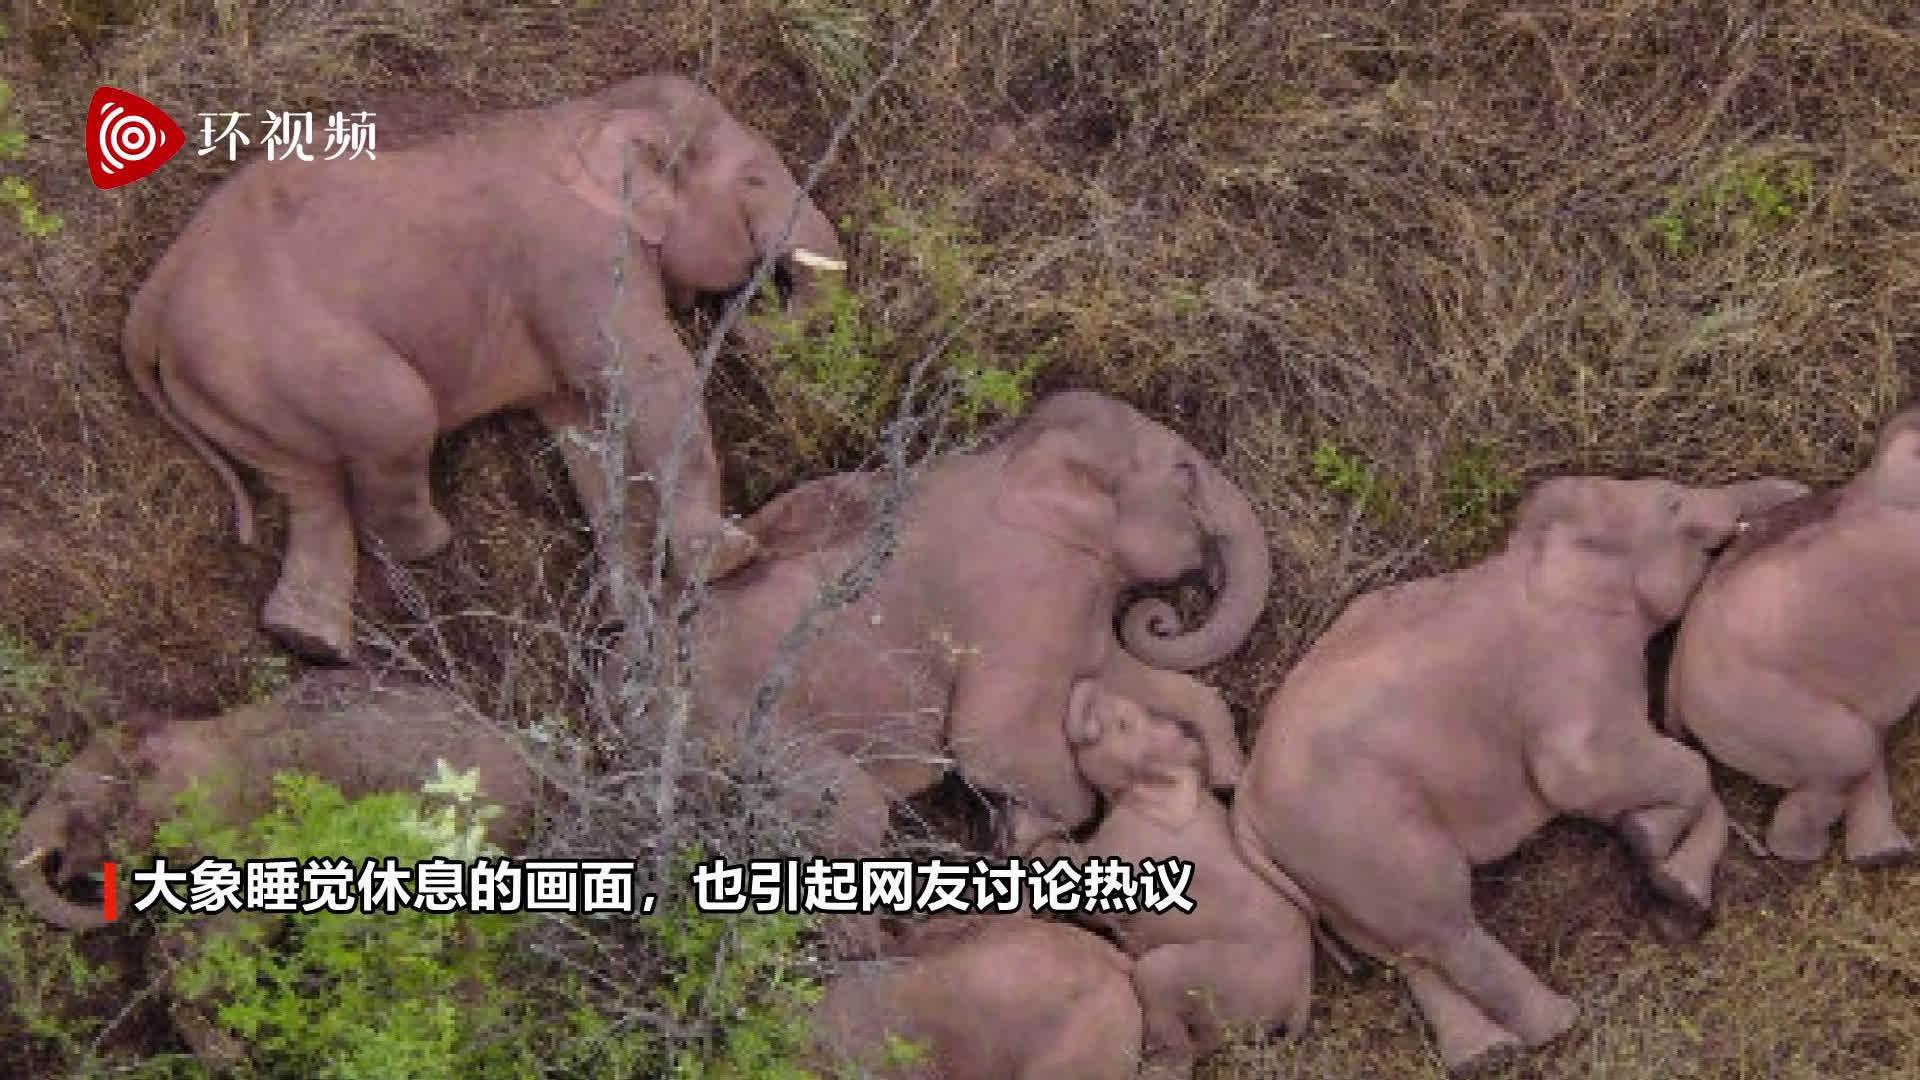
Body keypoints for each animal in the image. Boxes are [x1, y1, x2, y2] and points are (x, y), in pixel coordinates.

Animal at [122, 72, 848, 665]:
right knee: (397, 416)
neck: (588, 111)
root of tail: (151, 300)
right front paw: (730, 555)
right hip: (283, 354)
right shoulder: (578, 254)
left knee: (309, 488)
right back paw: (430, 544)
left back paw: (310, 642)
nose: (752, 311)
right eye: (754, 182)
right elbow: (647, 377)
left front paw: (630, 616)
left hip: (240, 388)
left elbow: (588, 428)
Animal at [687, 389, 1272, 860]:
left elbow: (1118, 674)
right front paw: (1031, 829)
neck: (1013, 454)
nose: (1164, 618)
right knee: (857, 817)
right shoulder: (1025, 585)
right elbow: (991, 740)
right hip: (750, 732)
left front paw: (1222, 774)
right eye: (1185, 474)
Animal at [1227, 472, 1810, 1075]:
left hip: (1326, 870)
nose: (1799, 492)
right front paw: (1653, 849)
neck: (1535, 555)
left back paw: (1485, 1053)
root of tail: (1245, 808)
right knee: (1444, 923)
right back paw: (1556, 1024)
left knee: (1404, 949)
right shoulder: (1570, 668)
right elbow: (1593, 773)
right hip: (1361, 831)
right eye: (1672, 502)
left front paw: (1667, 870)